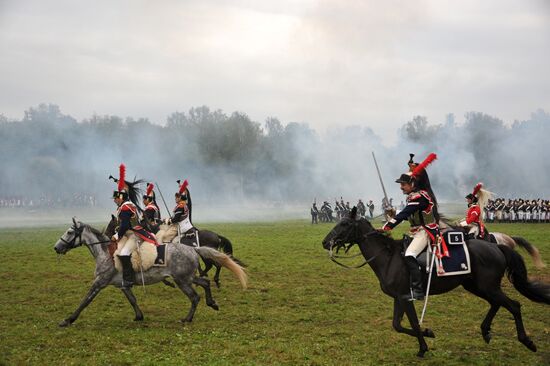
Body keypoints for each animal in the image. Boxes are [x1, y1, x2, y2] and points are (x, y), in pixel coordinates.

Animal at [105, 216, 246, 288]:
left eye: (112, 223)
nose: (107, 234)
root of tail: (217, 235)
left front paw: (169, 282)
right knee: (214, 265)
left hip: (207, 255)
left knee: (215, 265)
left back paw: (211, 279)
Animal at [324, 209, 550, 358]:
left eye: (345, 224)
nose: (325, 243)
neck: (388, 257)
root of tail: (497, 246)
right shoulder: (399, 298)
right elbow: (397, 325)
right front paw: (427, 335)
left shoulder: (406, 298)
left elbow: (413, 323)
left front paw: (423, 346)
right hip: (478, 287)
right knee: (497, 304)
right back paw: (486, 331)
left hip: (487, 287)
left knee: (514, 305)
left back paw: (527, 341)